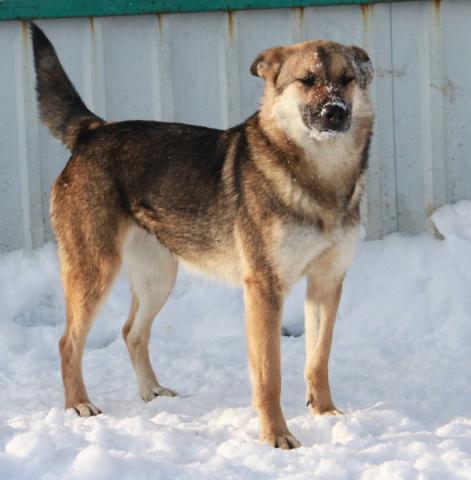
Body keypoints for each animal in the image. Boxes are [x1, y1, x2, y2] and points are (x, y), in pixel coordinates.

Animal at [30, 23, 373, 449]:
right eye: (307, 80)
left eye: (346, 80)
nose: (335, 112)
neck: (320, 176)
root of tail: (93, 132)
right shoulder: (265, 289)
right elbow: (270, 376)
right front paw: (276, 436)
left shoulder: (327, 282)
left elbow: (318, 360)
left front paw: (325, 413)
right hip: (96, 271)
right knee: (68, 343)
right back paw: (78, 404)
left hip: (159, 279)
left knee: (131, 332)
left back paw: (152, 392)